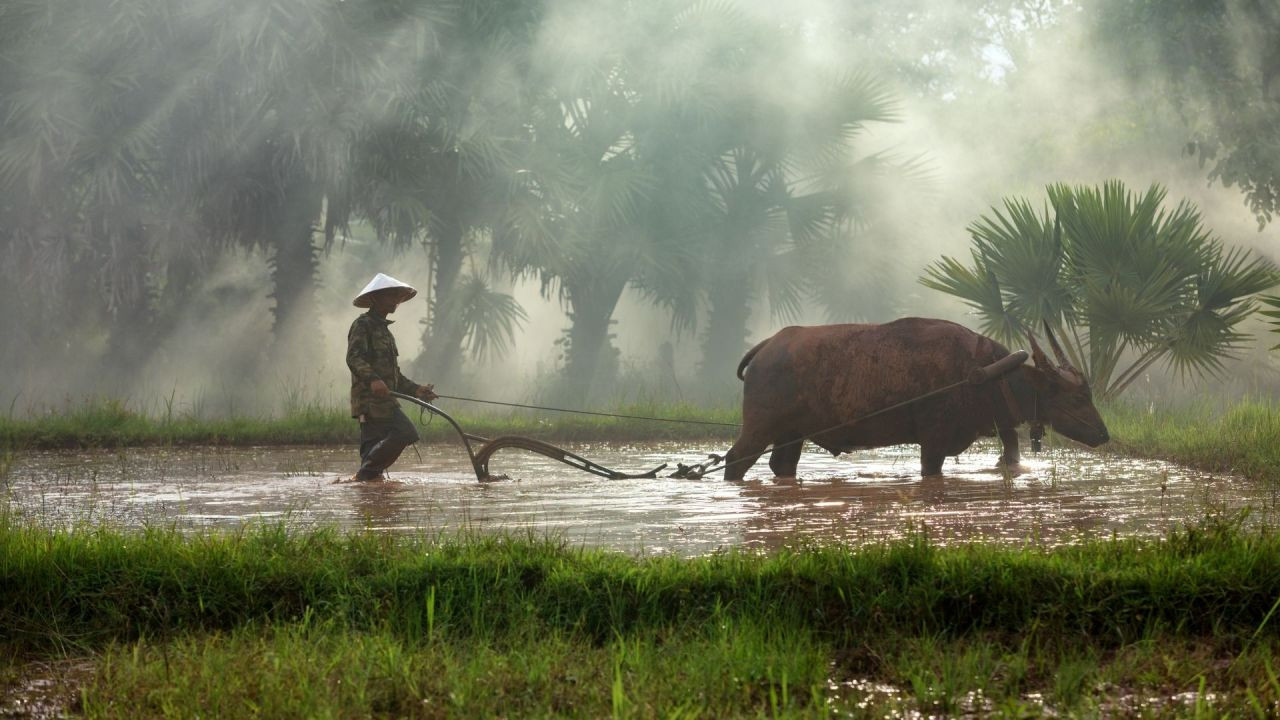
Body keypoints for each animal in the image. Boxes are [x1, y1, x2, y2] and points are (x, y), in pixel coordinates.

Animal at [732, 316, 1111, 479]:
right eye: (1078, 397)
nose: (1103, 433)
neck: (981, 373)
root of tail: (767, 347)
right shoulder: (933, 441)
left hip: (790, 435)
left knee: (781, 466)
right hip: (758, 430)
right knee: (734, 462)